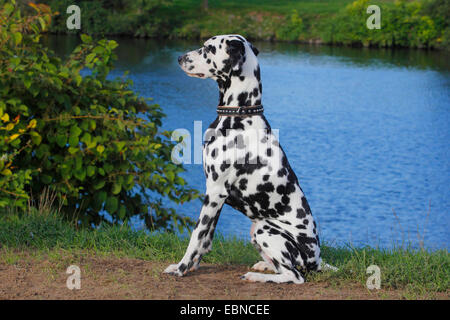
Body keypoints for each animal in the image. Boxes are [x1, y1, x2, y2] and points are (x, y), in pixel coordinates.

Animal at [163, 35, 330, 284]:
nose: (180, 58)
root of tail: (317, 261)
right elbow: (206, 239)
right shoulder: (215, 195)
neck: (239, 114)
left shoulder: (215, 192)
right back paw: (263, 266)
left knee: (294, 276)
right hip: (255, 230)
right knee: (283, 268)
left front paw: (181, 268)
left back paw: (255, 276)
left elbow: (196, 235)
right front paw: (190, 267)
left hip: (264, 230)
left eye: (208, 48)